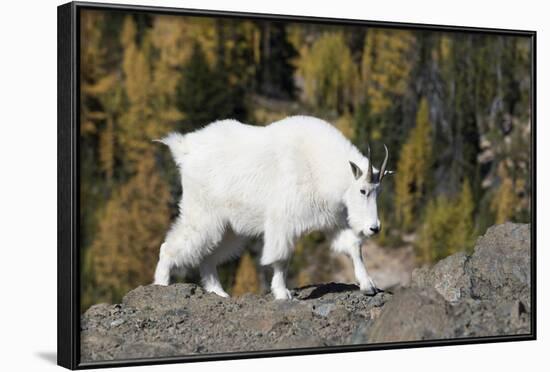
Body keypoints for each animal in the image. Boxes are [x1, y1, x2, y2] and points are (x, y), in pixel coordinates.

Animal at [153, 115, 394, 300]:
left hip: (229, 228)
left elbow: (353, 246)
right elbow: (281, 258)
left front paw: (368, 286)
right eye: (363, 190)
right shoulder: (284, 221)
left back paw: (218, 293)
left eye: (379, 191)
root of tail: (185, 149)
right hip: (203, 213)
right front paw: (282, 293)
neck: (317, 165)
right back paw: (162, 284)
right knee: (170, 247)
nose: (374, 228)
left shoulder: (331, 221)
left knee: (208, 257)